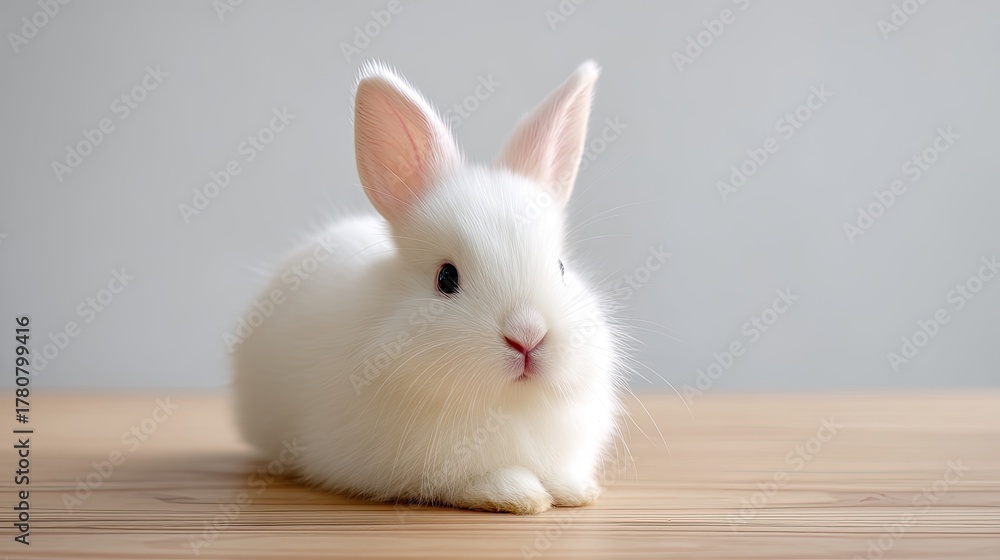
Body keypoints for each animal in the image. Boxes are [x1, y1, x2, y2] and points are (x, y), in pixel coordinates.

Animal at [232, 60, 623, 515]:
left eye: (560, 267)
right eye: (446, 278)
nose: (528, 336)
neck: (507, 404)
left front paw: (578, 491)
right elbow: (477, 482)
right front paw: (520, 495)